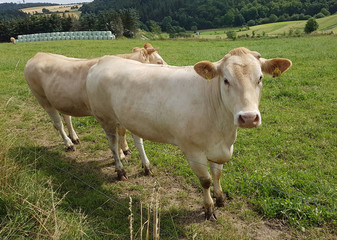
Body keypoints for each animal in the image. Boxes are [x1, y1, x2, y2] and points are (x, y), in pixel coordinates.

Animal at [85, 47, 290, 221]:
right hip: (106, 118)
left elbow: (217, 175)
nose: (248, 118)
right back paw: (120, 171)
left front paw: (220, 198)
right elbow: (206, 180)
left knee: (137, 140)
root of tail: (105, 60)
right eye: (226, 80)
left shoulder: (219, 149)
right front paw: (209, 208)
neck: (223, 132)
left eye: (260, 78)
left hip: (131, 118)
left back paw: (146, 166)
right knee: (113, 144)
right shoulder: (193, 151)